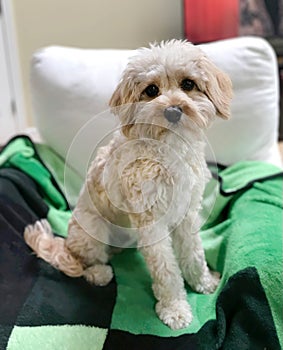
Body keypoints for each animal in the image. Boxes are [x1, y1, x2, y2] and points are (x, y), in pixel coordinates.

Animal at [24, 40, 233, 330]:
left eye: (188, 84)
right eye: (152, 90)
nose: (173, 110)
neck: (168, 148)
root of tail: (66, 243)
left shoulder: (186, 212)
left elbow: (194, 252)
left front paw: (203, 282)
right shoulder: (150, 221)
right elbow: (166, 269)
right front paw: (174, 309)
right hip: (91, 230)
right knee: (83, 262)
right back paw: (99, 272)